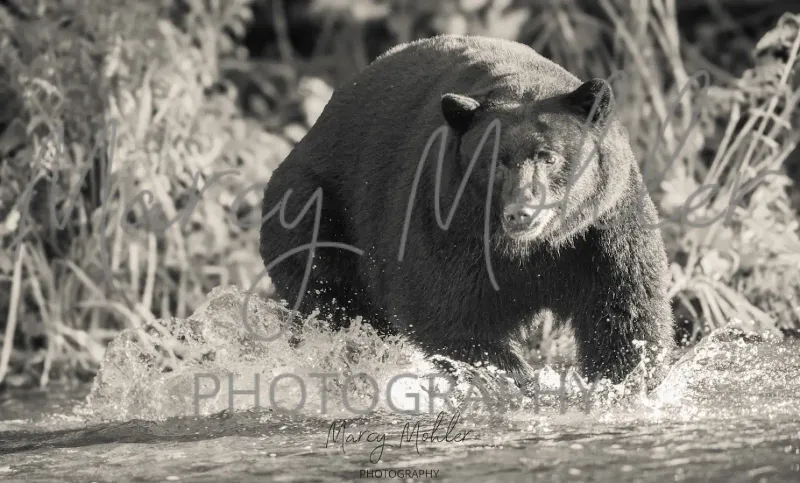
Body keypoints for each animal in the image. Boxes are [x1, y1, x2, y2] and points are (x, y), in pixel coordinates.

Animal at [260, 35, 676, 390]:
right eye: (494, 162)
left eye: (549, 156)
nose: (521, 213)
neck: (532, 246)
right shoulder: (448, 220)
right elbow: (446, 313)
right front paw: (517, 384)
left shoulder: (603, 226)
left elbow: (625, 314)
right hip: (313, 211)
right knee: (338, 304)